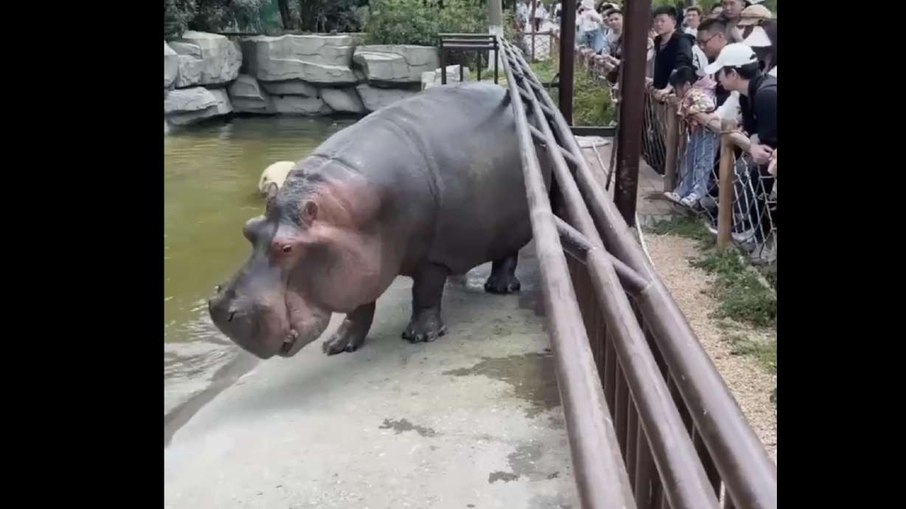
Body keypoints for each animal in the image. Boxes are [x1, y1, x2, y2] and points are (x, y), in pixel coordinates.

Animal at [208, 82, 551, 359]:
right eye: (249, 229)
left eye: (287, 248)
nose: (220, 309)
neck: (345, 215)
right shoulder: (360, 265)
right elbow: (359, 308)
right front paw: (337, 345)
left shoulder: (430, 257)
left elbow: (424, 294)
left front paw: (420, 336)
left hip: (516, 224)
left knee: (507, 256)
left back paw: (500, 288)